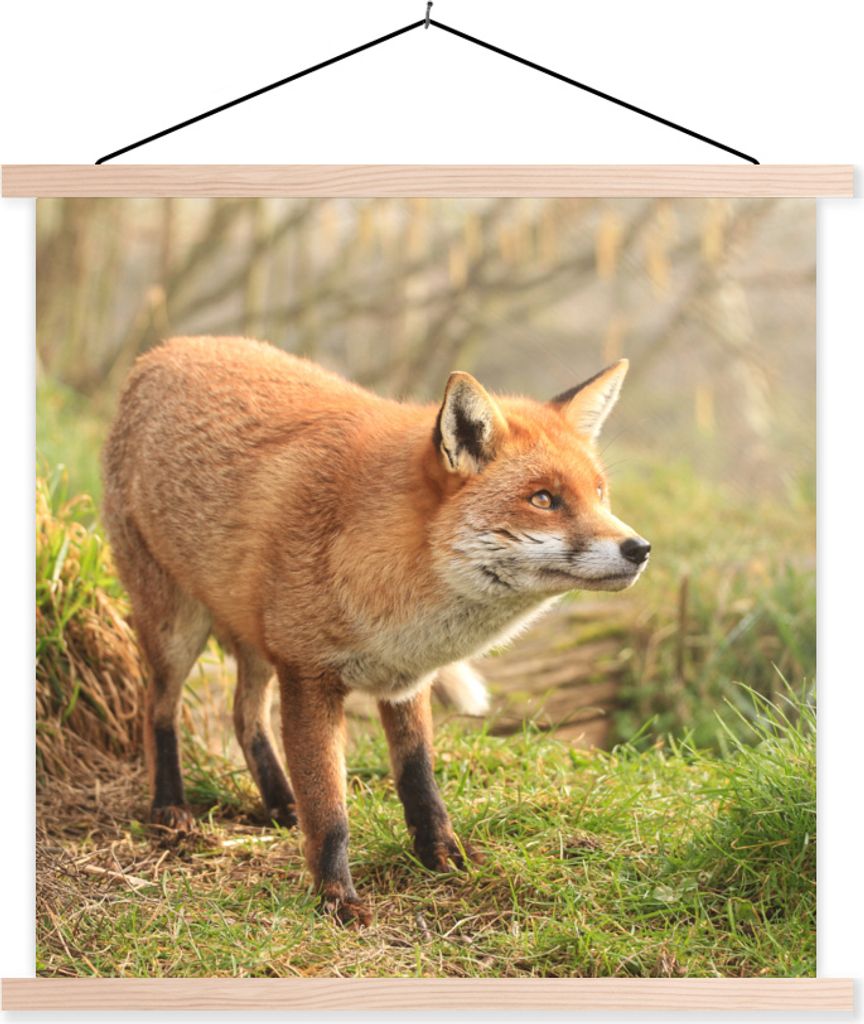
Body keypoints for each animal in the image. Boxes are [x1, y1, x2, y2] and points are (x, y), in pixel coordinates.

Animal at [102, 335, 650, 924]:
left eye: (599, 494)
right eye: (544, 499)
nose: (639, 549)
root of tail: (164, 349)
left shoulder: (405, 679)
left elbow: (419, 780)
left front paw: (444, 857)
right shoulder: (308, 675)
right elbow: (331, 809)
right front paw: (335, 897)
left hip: (255, 640)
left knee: (244, 715)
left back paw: (280, 802)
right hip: (175, 628)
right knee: (159, 710)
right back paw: (170, 808)